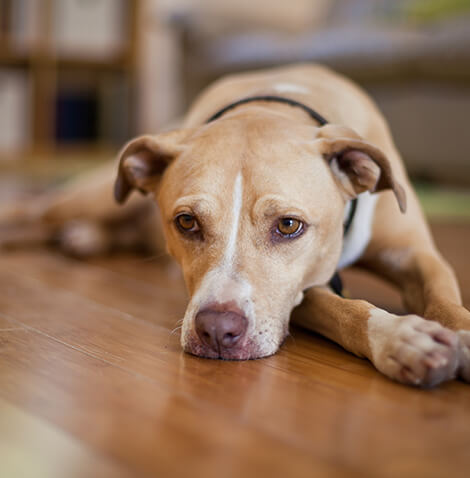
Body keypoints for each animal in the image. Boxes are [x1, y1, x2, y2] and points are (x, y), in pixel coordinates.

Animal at [0, 63, 470, 386]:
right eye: (186, 221)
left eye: (289, 226)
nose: (216, 330)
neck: (272, 102)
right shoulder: (300, 292)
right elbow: (345, 309)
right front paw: (402, 337)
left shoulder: (415, 254)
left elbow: (445, 297)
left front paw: (457, 336)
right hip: (88, 199)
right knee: (32, 213)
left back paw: (83, 238)